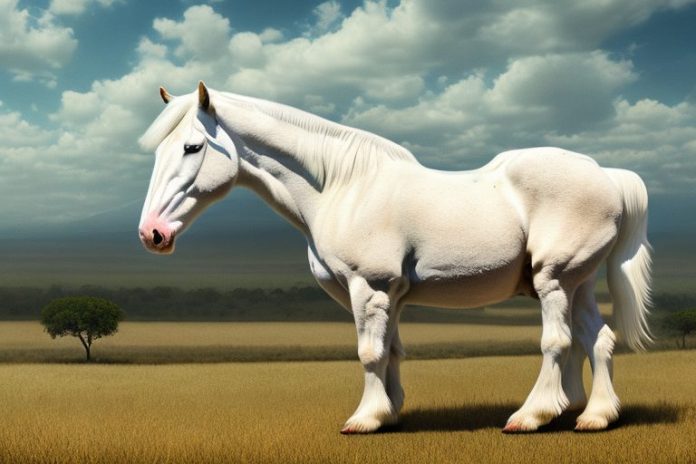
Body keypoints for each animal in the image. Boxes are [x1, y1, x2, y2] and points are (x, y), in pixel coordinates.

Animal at [138, 82, 652, 434]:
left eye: (193, 146)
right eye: (160, 151)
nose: (152, 234)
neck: (344, 188)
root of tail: (607, 174)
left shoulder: (370, 287)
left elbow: (369, 352)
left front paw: (364, 419)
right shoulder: (392, 296)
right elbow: (393, 350)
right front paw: (390, 412)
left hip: (554, 281)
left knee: (558, 343)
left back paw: (532, 415)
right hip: (578, 284)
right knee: (598, 339)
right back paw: (594, 416)